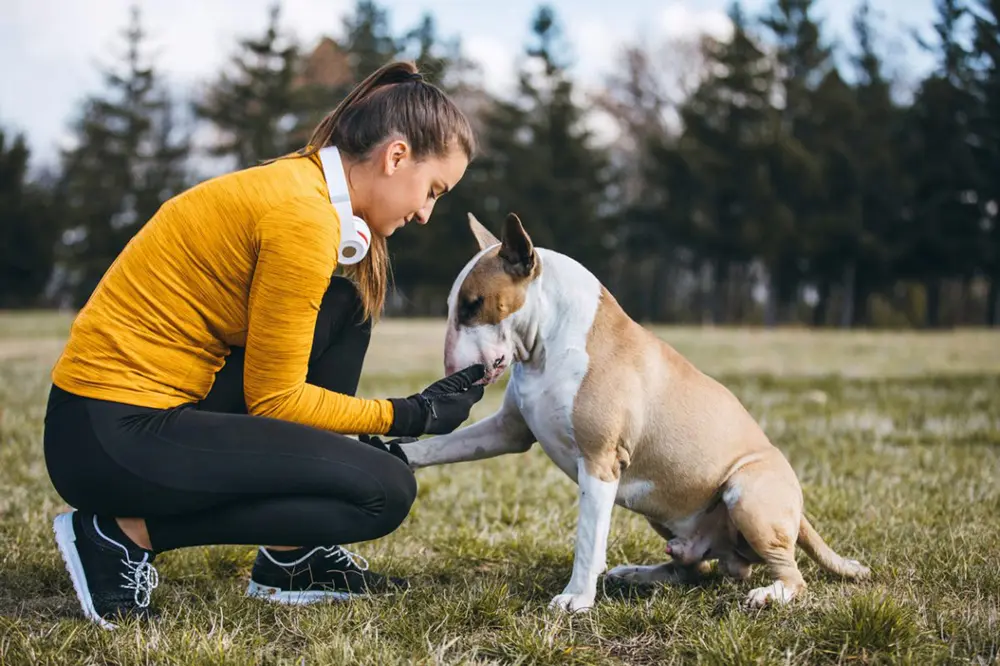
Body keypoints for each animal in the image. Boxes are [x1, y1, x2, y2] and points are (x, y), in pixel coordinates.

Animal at [398, 210, 868, 608]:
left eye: (473, 304)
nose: (451, 371)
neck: (550, 341)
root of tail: (799, 513)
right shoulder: (509, 431)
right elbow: (439, 446)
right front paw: (401, 453)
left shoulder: (600, 462)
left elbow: (588, 539)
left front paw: (576, 599)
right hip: (664, 508)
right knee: (694, 567)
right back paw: (640, 573)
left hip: (746, 491)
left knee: (790, 576)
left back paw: (769, 595)